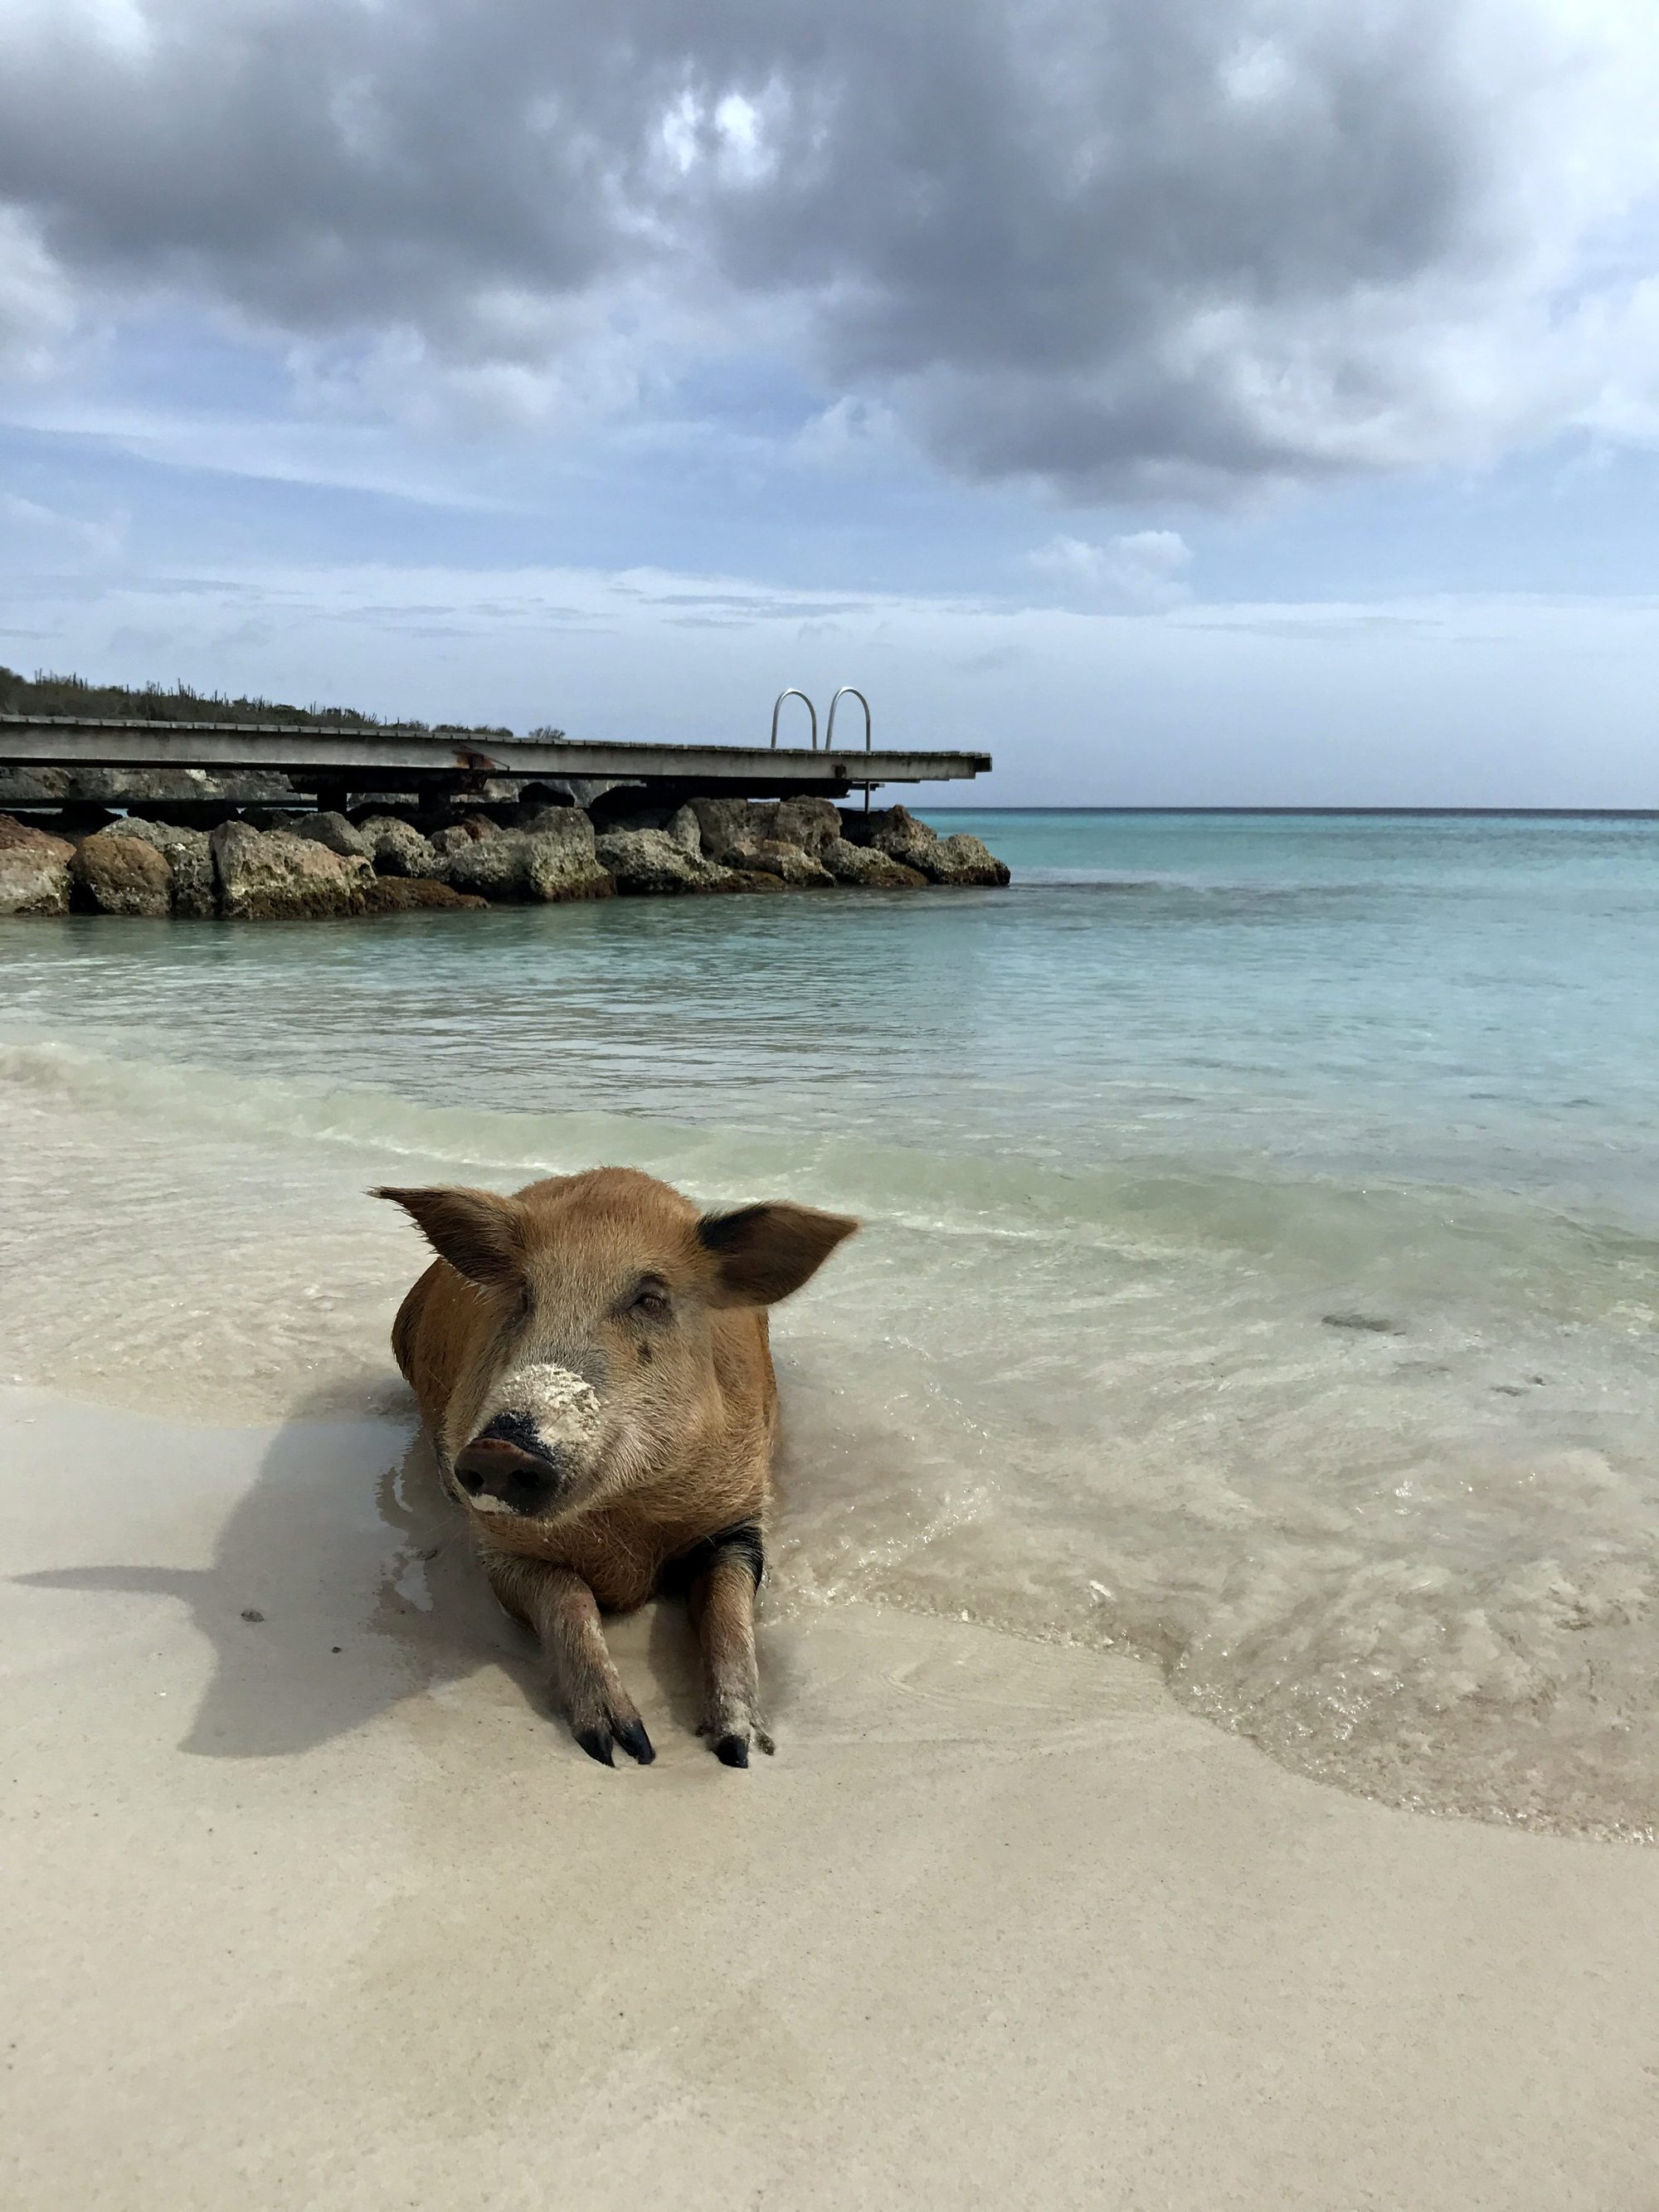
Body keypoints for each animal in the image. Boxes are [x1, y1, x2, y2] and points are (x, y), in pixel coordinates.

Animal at [376, 1167, 857, 1768]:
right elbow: (567, 1596)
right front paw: (623, 1748)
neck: (629, 1525)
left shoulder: (741, 1517)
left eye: (650, 1299)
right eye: (524, 1296)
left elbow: (728, 1610)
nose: (499, 1451)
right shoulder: (498, 1546)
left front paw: (739, 1748)